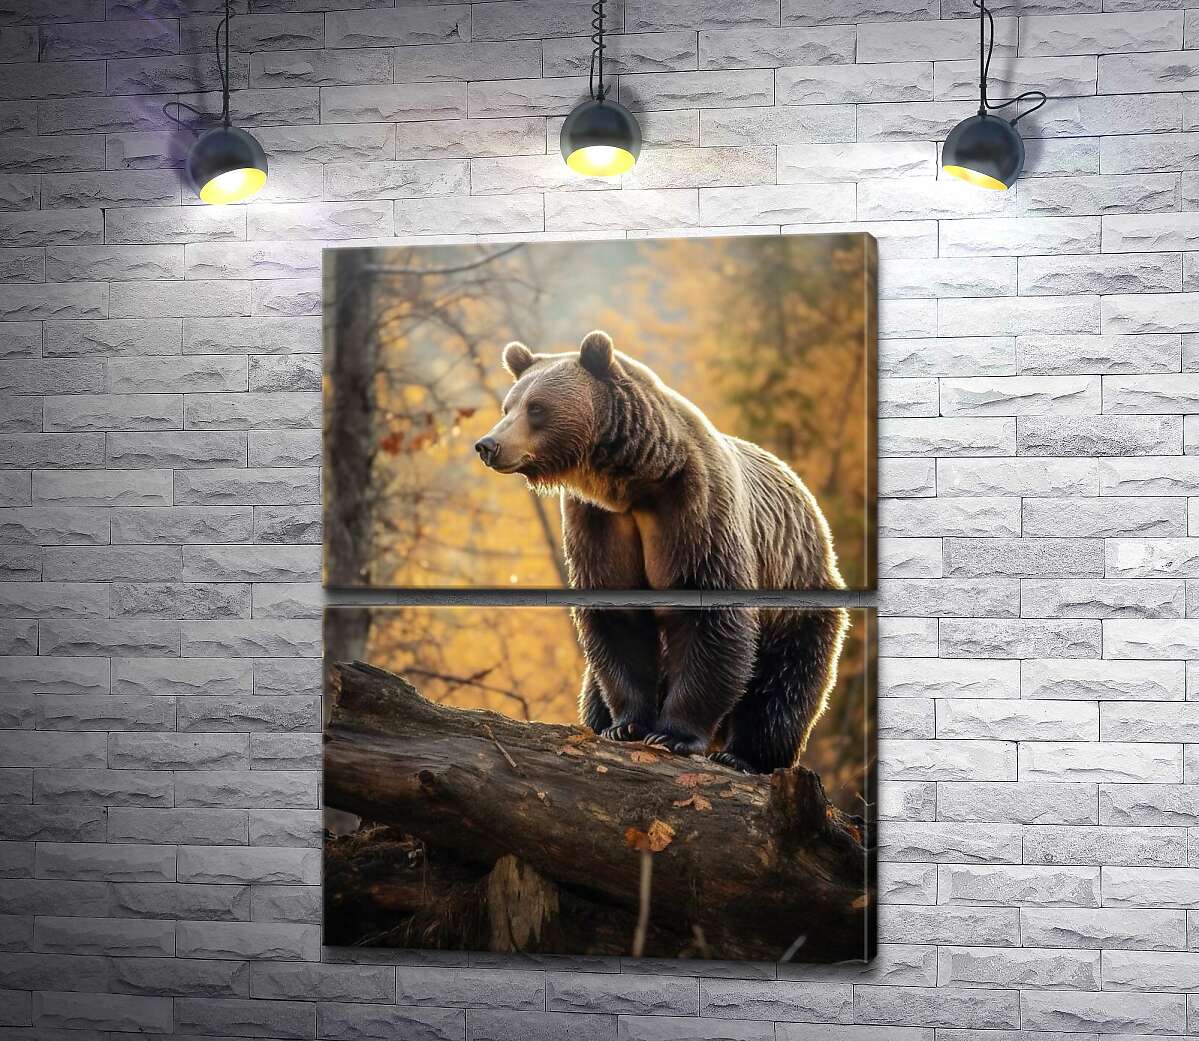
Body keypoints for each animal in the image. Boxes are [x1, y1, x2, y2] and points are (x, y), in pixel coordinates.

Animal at [474, 329, 849, 774]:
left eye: (536, 408)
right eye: (508, 406)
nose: (488, 445)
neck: (635, 482)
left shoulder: (694, 509)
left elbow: (711, 617)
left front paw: (673, 734)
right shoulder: (599, 521)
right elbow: (618, 623)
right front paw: (626, 725)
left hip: (796, 590)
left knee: (784, 683)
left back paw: (745, 755)